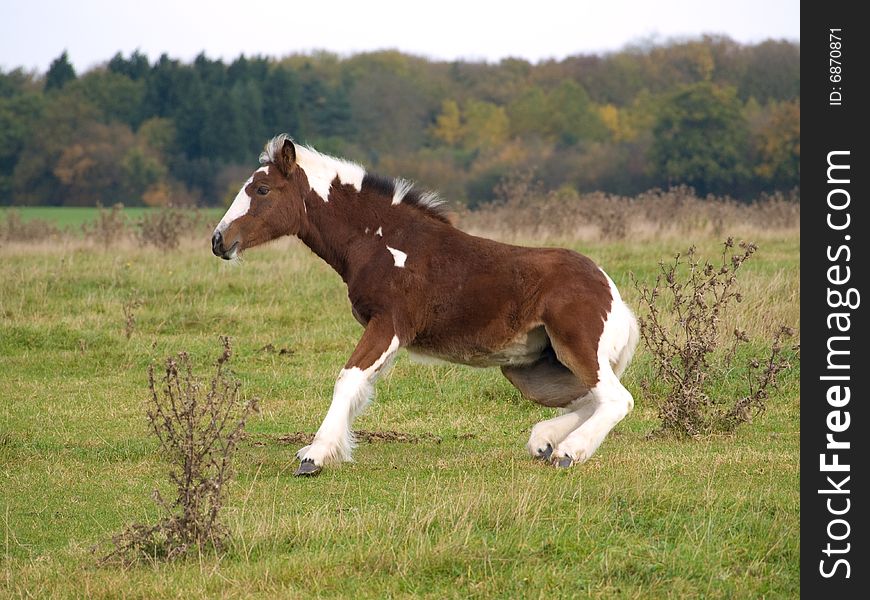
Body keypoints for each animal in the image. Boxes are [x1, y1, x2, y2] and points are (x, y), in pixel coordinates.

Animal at [211, 134, 640, 476]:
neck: (382, 240)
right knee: (589, 397)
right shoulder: (386, 333)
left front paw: (314, 456)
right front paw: (329, 449)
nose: (219, 240)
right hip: (531, 371)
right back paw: (544, 441)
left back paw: (569, 451)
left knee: (617, 399)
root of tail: (614, 297)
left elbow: (348, 378)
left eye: (262, 190)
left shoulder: (389, 324)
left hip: (576, 347)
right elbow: (361, 385)